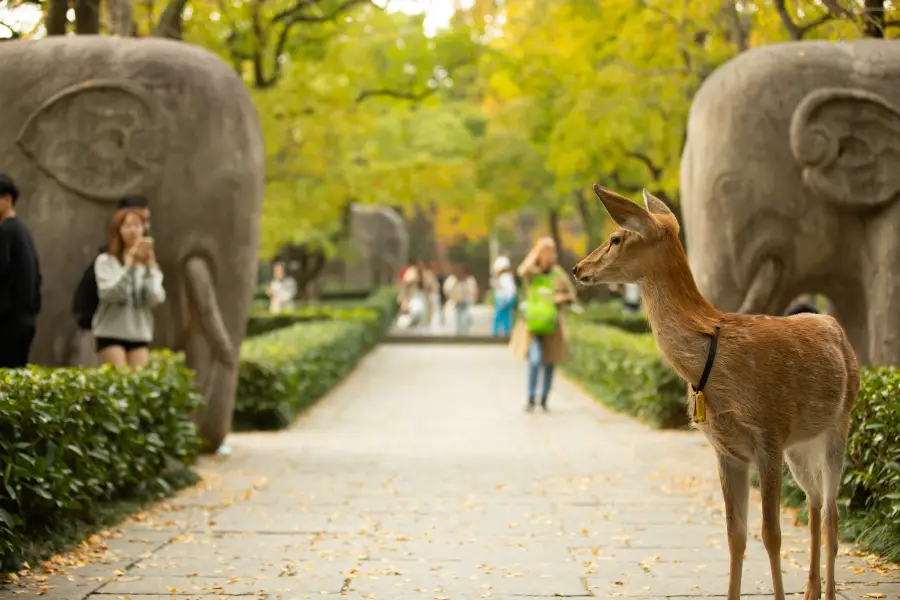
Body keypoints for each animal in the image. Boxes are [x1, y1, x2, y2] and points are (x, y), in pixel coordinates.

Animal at [572, 184, 860, 600]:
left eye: (615, 237)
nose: (578, 268)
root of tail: (837, 329)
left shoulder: (769, 434)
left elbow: (771, 535)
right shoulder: (727, 450)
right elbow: (735, 536)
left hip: (840, 424)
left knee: (832, 511)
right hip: (800, 446)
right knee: (815, 502)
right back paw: (811, 592)